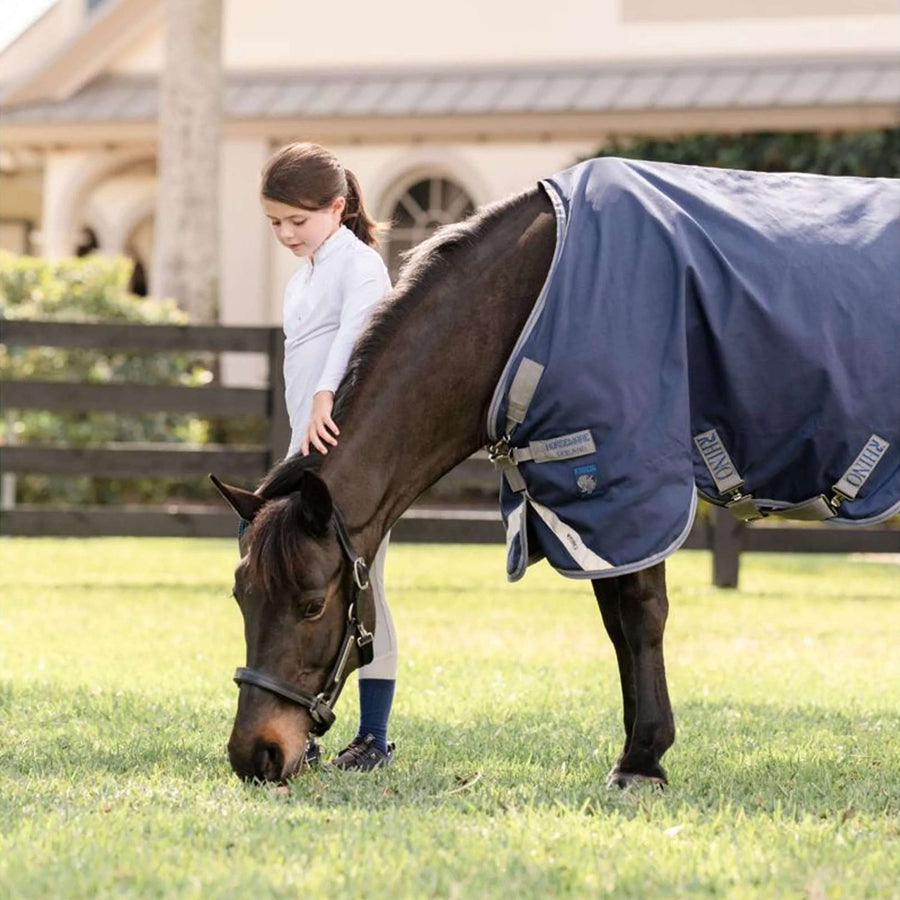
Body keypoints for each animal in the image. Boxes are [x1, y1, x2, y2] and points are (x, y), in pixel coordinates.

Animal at [212, 157, 899, 786]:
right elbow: (617, 623)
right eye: (241, 597)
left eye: (310, 606)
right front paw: (635, 749)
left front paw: (643, 761)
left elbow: (642, 614)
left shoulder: (629, 486)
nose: (255, 755)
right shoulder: (585, 511)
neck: (534, 301)